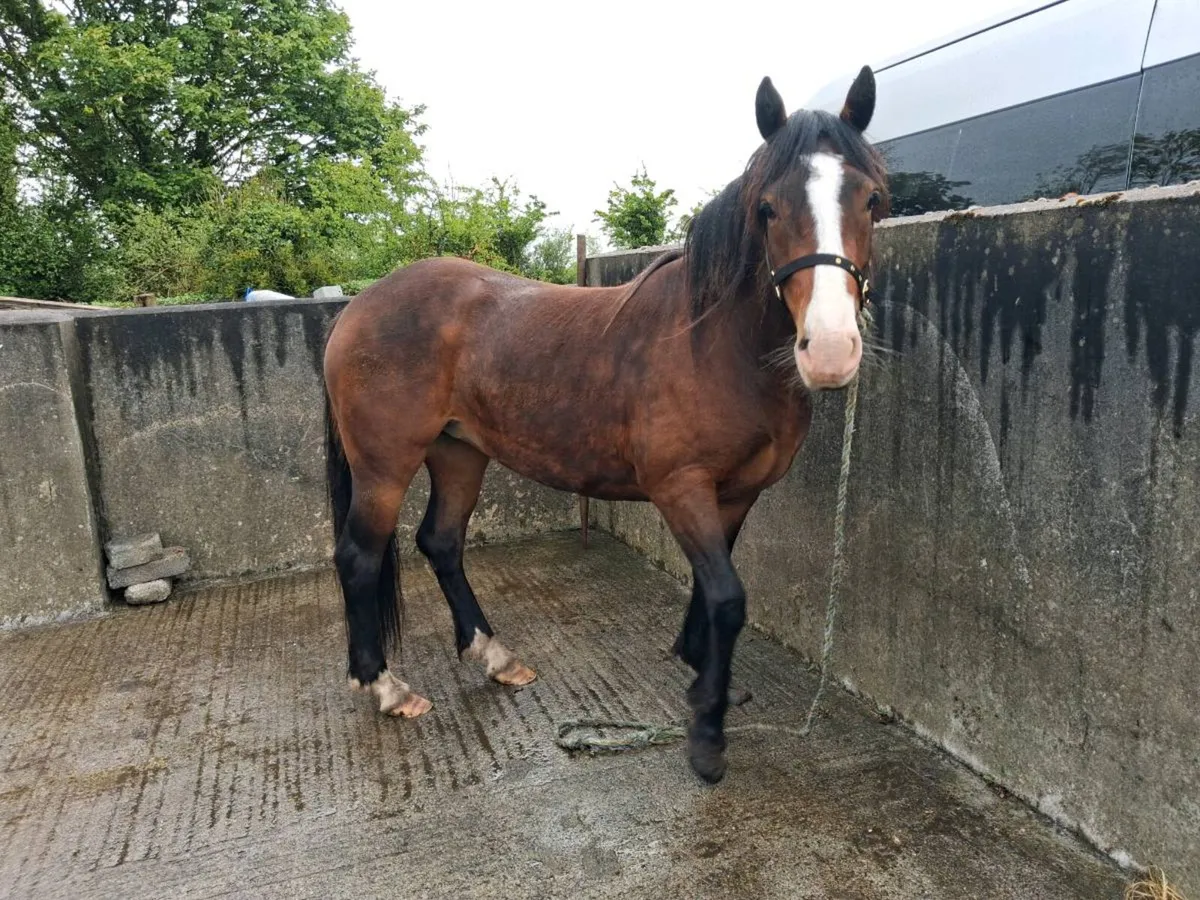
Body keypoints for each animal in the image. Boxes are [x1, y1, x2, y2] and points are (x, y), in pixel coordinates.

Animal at [322, 66, 889, 783]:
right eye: (767, 209)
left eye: (872, 201)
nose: (831, 350)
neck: (713, 343)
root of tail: (357, 308)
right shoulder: (679, 487)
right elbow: (728, 597)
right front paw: (707, 735)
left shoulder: (735, 494)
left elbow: (712, 589)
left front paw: (704, 675)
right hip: (384, 465)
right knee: (359, 557)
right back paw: (386, 687)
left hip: (459, 453)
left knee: (441, 543)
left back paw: (495, 656)